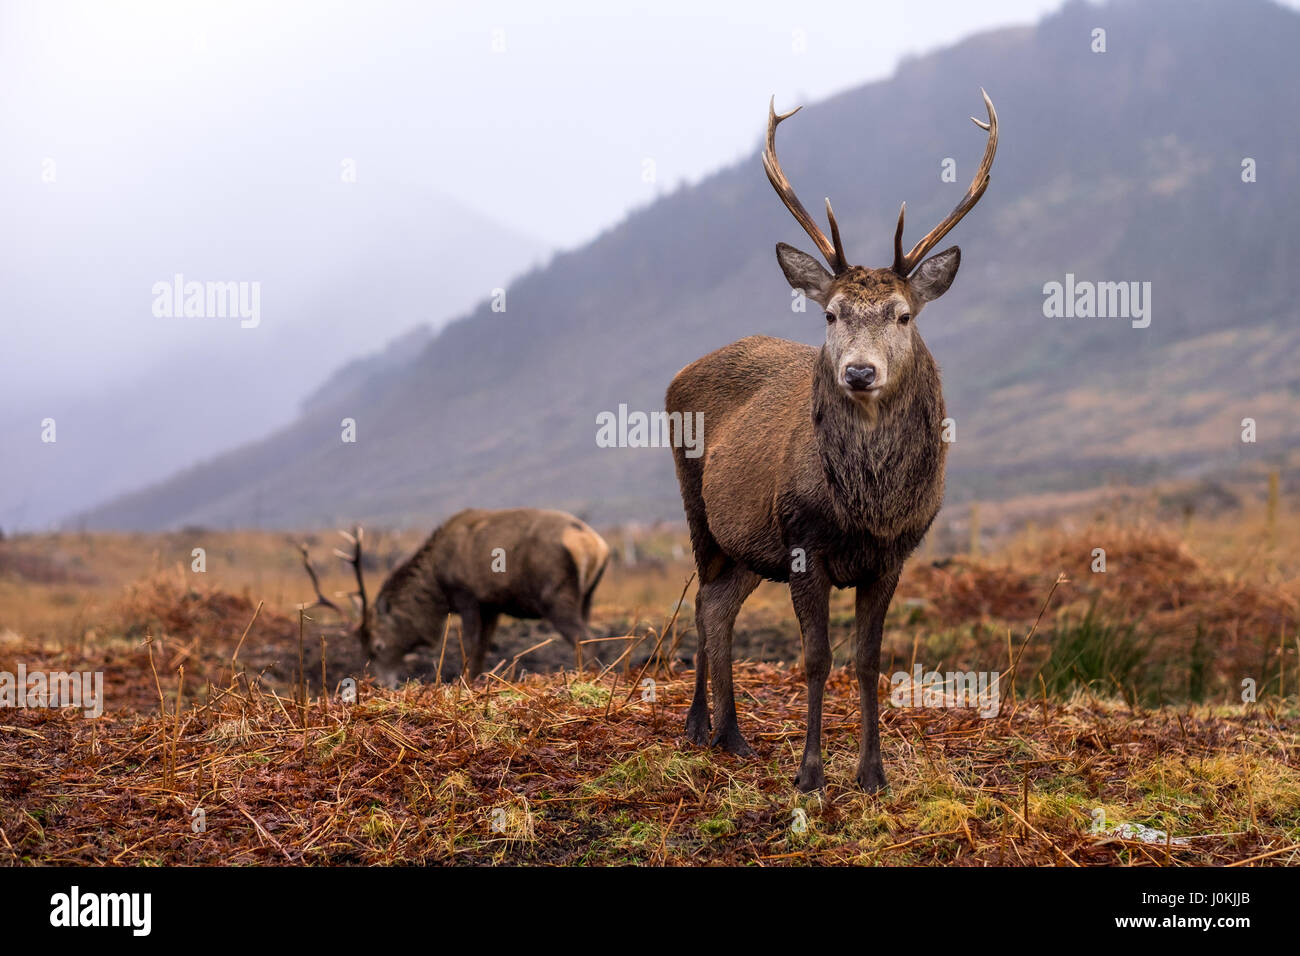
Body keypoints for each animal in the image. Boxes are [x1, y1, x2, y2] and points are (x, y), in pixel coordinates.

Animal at [301, 512, 611, 686]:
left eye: (378, 646)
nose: (384, 685)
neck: (437, 586)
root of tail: (595, 545)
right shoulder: (492, 605)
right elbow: (483, 647)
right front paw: (476, 681)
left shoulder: (467, 596)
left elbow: (471, 644)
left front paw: (463, 682)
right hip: (588, 595)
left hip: (556, 596)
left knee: (584, 638)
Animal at [670, 91, 993, 790]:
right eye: (830, 313)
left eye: (903, 314)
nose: (859, 372)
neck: (866, 507)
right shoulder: (802, 538)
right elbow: (815, 658)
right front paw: (811, 771)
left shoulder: (896, 552)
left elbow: (869, 661)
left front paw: (873, 772)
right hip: (698, 504)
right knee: (703, 598)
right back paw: (699, 724)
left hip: (749, 542)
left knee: (720, 604)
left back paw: (732, 735)